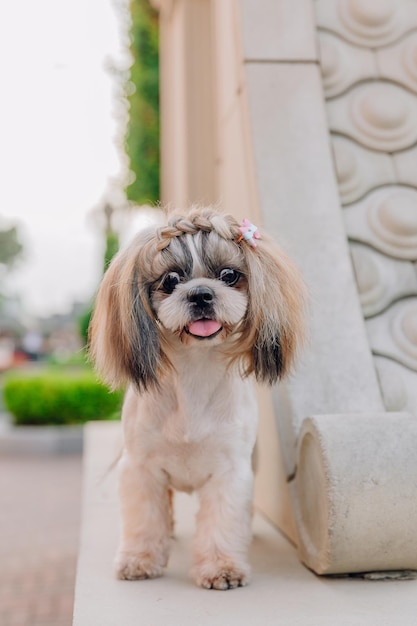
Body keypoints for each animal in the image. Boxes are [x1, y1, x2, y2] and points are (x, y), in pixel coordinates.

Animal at [89, 207, 304, 588]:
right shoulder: (140, 468)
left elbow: (222, 521)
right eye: (171, 279)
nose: (201, 294)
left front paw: (222, 568)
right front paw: (139, 559)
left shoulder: (230, 472)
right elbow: (145, 520)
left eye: (229, 275)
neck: (194, 373)